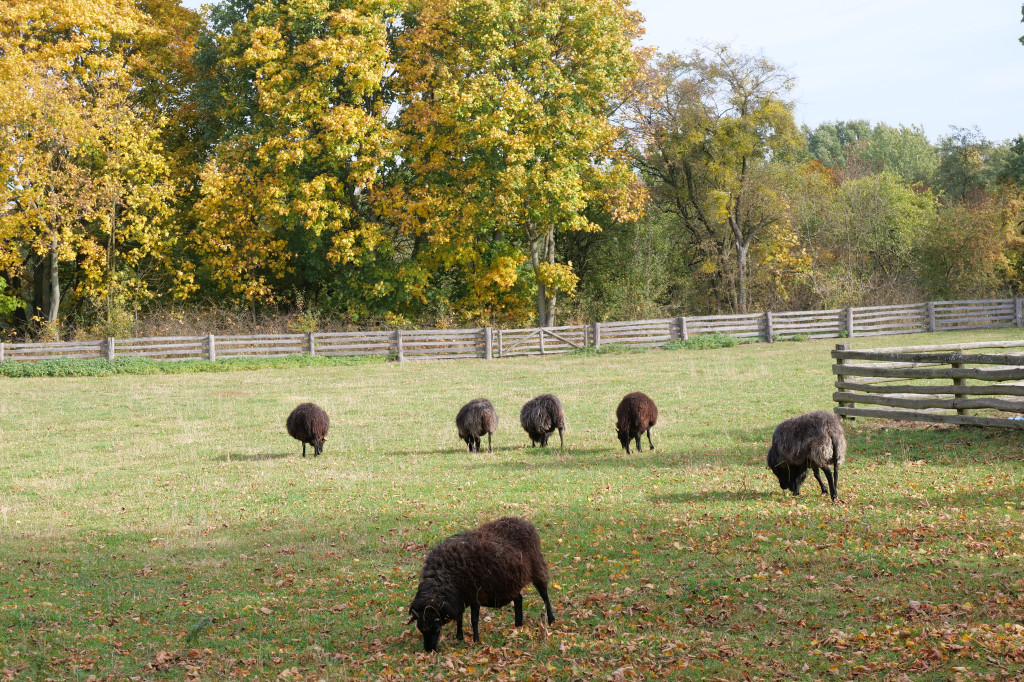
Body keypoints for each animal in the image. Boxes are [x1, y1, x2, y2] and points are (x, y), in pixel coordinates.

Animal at [403, 512, 557, 651]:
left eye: (436, 628)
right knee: (519, 598)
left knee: (544, 595)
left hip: (537, 567)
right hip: (509, 582)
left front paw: (476, 640)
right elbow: (459, 617)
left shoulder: (474, 595)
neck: (444, 576)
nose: (429, 650)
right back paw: (518, 625)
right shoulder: (460, 597)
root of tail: (525, 522)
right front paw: (459, 637)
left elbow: (474, 619)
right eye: (420, 629)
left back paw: (551, 620)